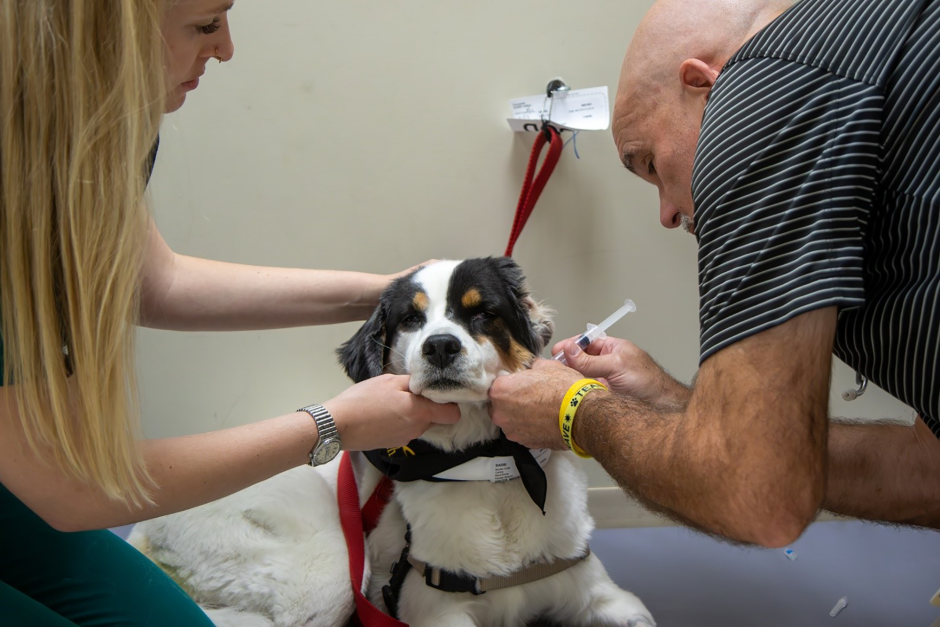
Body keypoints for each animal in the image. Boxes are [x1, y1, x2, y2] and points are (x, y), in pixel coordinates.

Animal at [129, 258, 656, 624]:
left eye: (482, 313)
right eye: (410, 320)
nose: (440, 345)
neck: (491, 467)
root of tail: (151, 520)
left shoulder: (600, 593)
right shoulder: (436, 610)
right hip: (324, 571)